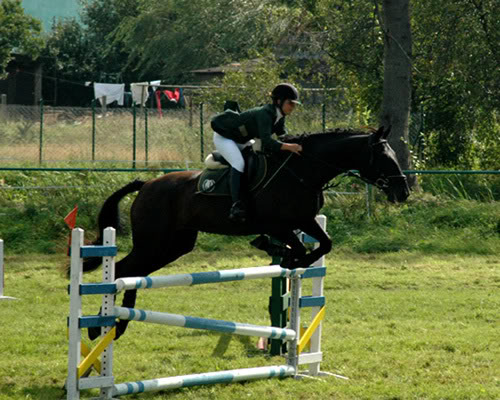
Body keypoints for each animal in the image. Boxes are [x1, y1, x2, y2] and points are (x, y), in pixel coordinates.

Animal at [82, 126, 410, 340]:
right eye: (384, 157)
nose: (403, 192)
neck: (303, 171)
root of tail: (146, 185)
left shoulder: (305, 220)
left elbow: (324, 244)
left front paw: (284, 259)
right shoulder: (277, 224)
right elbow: (301, 249)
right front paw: (282, 256)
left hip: (173, 245)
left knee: (135, 272)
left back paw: (118, 324)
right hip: (153, 241)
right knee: (124, 269)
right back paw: (101, 326)